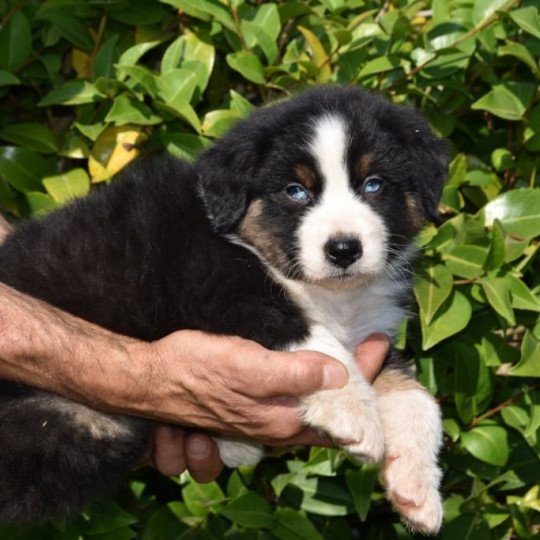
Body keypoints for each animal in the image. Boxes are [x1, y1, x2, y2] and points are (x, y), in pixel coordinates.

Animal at [0, 86, 450, 532]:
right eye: (295, 191)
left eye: (373, 184)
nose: (343, 249)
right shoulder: (217, 287)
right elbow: (318, 344)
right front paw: (356, 415)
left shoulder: (370, 334)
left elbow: (417, 397)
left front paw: (417, 491)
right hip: (87, 424)